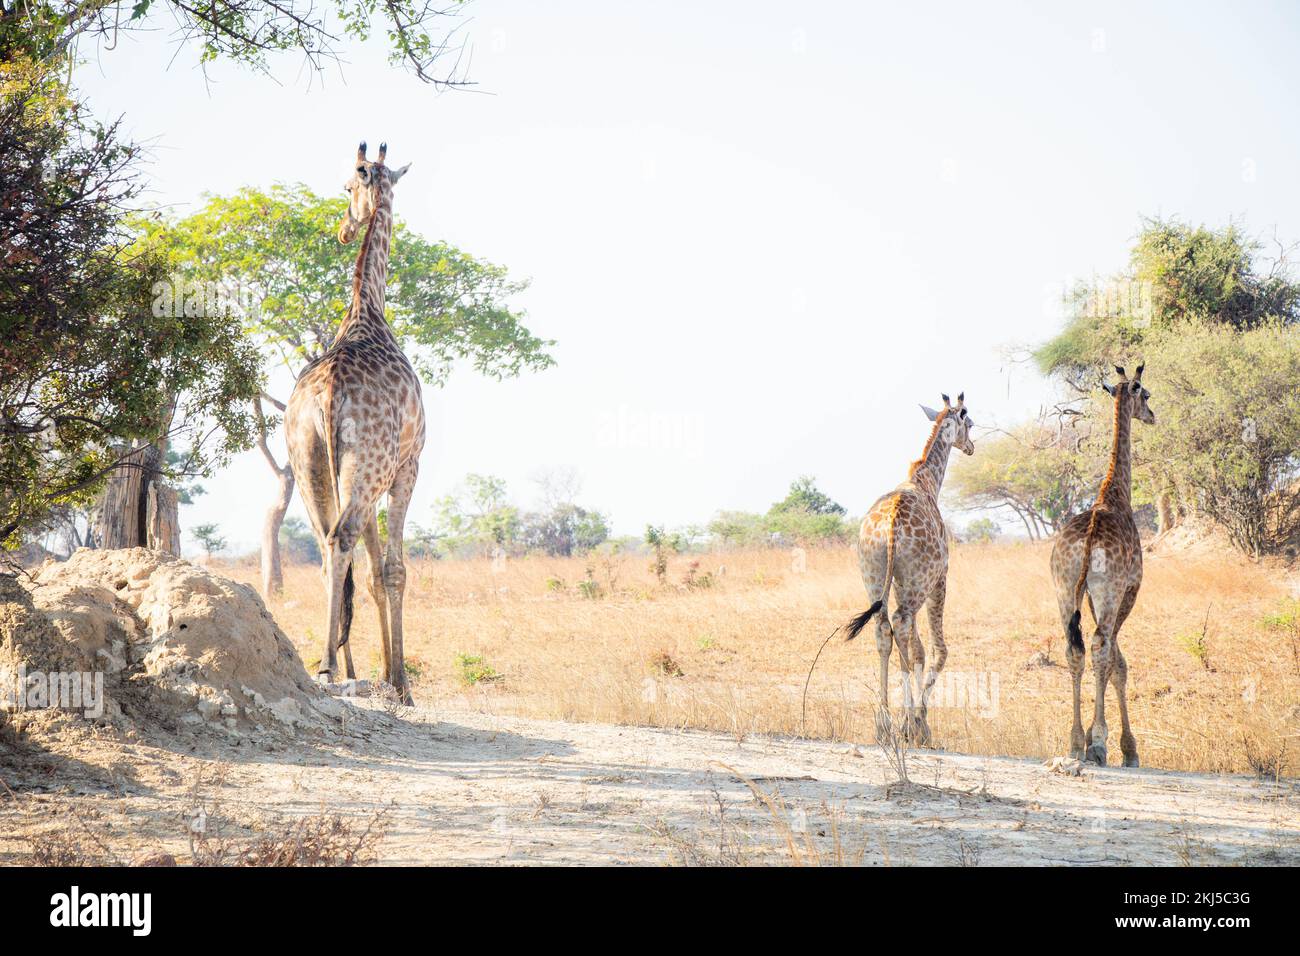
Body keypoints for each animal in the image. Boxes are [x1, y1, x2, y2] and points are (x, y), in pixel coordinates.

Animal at [842, 392, 977, 743]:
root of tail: (890, 525)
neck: (927, 481)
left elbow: (914, 648)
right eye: (970, 423)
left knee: (884, 628)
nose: (971, 447)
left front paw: (910, 719)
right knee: (902, 627)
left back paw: (884, 724)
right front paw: (919, 720)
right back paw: (910, 725)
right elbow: (935, 650)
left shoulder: (903, 583)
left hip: (875, 575)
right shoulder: (941, 577)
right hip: (918, 584)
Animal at [1050, 366, 1154, 770]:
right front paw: (1127, 748)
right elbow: (1117, 663)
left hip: (1065, 589)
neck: (1115, 494)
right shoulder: (1129, 590)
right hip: (1106, 592)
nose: (1152, 416)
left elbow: (1112, 659)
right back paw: (1094, 744)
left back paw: (1075, 741)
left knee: (1074, 649)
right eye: (1146, 395)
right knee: (1098, 647)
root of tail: (1089, 537)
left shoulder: (1091, 598)